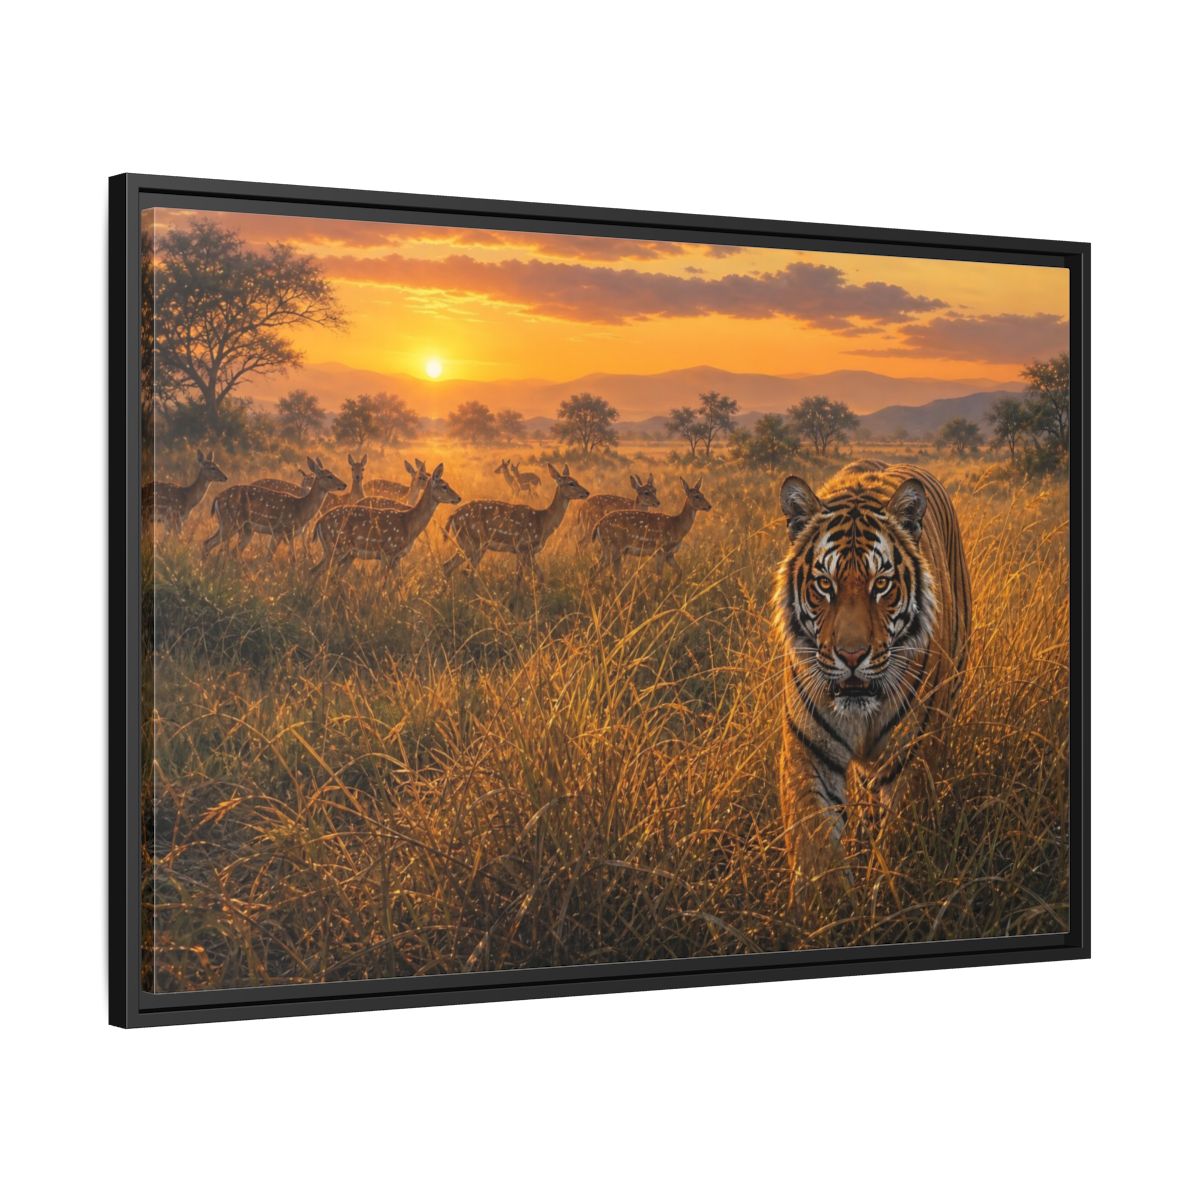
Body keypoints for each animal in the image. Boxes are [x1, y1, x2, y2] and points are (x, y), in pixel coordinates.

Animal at [202, 456, 347, 563]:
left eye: (333, 473)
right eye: (329, 476)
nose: (344, 484)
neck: (300, 509)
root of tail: (217, 498)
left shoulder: (288, 534)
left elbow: (286, 558)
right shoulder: (281, 530)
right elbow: (275, 557)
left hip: (244, 528)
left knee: (228, 549)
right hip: (231, 521)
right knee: (209, 543)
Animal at [311, 463, 460, 578]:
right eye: (444, 486)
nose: (459, 497)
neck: (409, 523)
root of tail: (319, 522)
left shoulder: (397, 558)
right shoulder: (387, 552)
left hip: (344, 552)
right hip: (337, 547)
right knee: (315, 571)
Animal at [443, 463, 588, 582]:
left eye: (577, 480)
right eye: (571, 483)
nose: (587, 492)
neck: (543, 522)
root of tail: (453, 516)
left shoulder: (527, 551)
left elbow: (540, 576)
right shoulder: (523, 546)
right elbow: (519, 578)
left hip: (465, 542)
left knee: (448, 566)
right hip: (475, 541)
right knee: (466, 571)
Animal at [772, 460, 970, 883]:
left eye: (881, 584)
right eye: (824, 584)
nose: (851, 655)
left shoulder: (912, 753)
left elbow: (900, 844)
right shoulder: (808, 749)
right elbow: (815, 847)